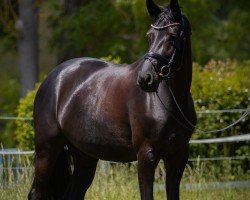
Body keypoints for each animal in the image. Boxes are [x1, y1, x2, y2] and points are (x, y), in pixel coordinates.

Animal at [28, 0, 196, 200]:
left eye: (172, 36)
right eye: (149, 36)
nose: (145, 79)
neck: (170, 101)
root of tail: (52, 78)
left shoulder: (178, 156)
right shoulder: (146, 155)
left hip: (84, 156)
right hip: (46, 149)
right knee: (36, 193)